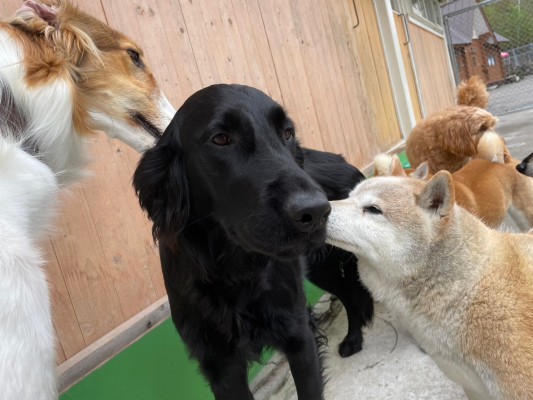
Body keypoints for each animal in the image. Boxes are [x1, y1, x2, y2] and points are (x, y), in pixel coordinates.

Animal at [133, 83, 372, 396]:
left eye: (287, 133)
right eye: (221, 139)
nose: (317, 212)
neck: (235, 271)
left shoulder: (299, 334)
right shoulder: (221, 365)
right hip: (323, 269)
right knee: (349, 295)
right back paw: (353, 339)